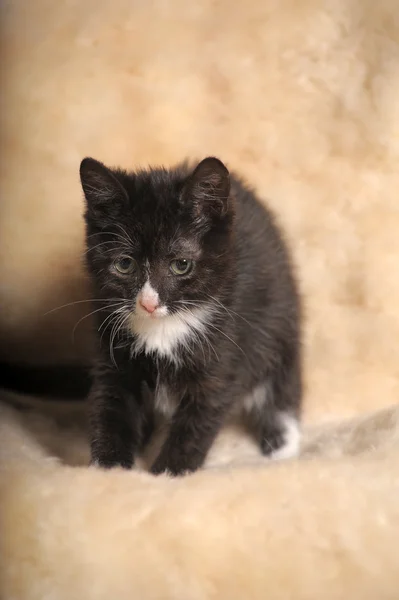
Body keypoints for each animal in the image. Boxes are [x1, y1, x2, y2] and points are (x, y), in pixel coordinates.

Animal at [79, 157, 304, 476]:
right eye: (124, 264)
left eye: (181, 265)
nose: (148, 303)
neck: (163, 327)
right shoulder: (112, 345)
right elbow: (112, 403)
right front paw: (109, 469)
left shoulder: (225, 347)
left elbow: (197, 422)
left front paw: (168, 473)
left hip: (278, 319)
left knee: (281, 381)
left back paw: (283, 442)